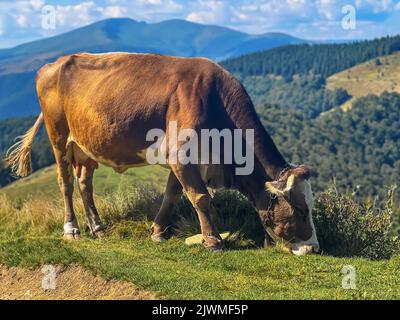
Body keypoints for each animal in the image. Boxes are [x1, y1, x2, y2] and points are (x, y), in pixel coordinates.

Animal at [5, 52, 318, 255]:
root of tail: (54, 64)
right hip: (57, 134)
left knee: (84, 183)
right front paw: (213, 241)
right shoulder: (180, 153)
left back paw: (98, 227)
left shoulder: (183, 159)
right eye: (302, 211)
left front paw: (158, 233)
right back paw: (72, 229)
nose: (313, 248)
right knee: (66, 182)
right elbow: (200, 197)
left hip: (86, 144)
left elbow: (173, 194)